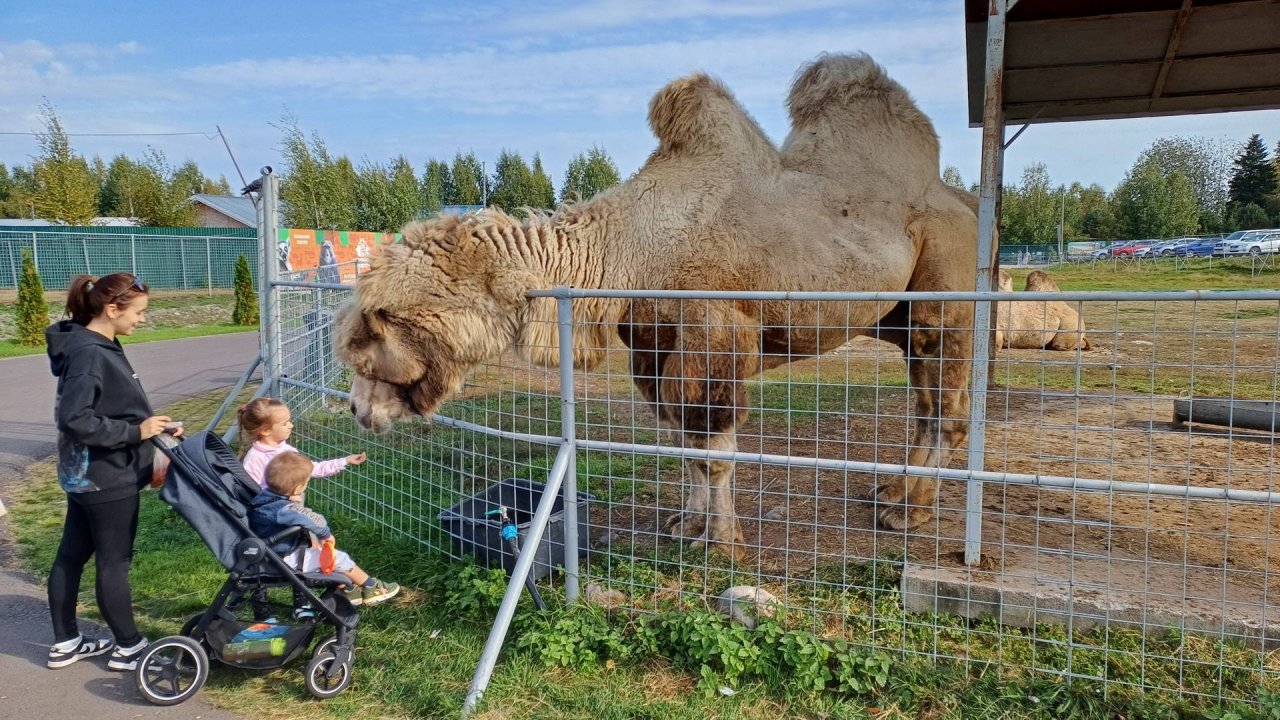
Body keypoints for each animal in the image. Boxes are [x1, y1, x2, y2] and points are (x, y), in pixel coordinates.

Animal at [332, 53, 977, 556]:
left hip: (946, 298)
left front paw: (723, 543)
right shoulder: (653, 344)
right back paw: (891, 492)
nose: (359, 410)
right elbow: (684, 445)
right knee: (926, 404)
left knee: (947, 404)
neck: (630, 247)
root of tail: (966, 206)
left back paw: (911, 511)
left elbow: (714, 450)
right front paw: (687, 524)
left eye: (377, 328)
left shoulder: (716, 335)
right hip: (898, 320)